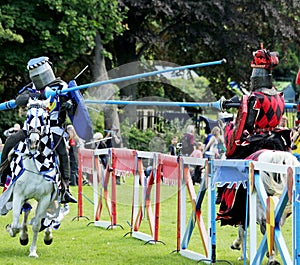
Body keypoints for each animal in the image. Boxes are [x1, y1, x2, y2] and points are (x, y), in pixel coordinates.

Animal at [0, 97, 59, 256]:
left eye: (45, 118)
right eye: (28, 116)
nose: (33, 142)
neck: (36, 165)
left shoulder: (45, 198)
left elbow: (37, 225)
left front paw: (33, 251)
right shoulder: (18, 194)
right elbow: (16, 224)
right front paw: (16, 232)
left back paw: (47, 234)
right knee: (26, 212)